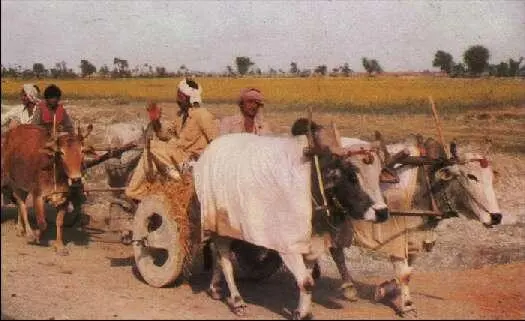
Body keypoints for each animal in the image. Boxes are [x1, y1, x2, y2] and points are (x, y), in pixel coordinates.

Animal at [1, 124, 91, 254]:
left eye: (82, 151)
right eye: (61, 152)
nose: (76, 179)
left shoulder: (65, 198)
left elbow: (59, 222)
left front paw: (60, 246)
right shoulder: (38, 195)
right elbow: (42, 223)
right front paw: (35, 236)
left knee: (19, 204)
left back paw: (20, 228)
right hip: (14, 183)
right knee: (22, 205)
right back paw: (27, 232)